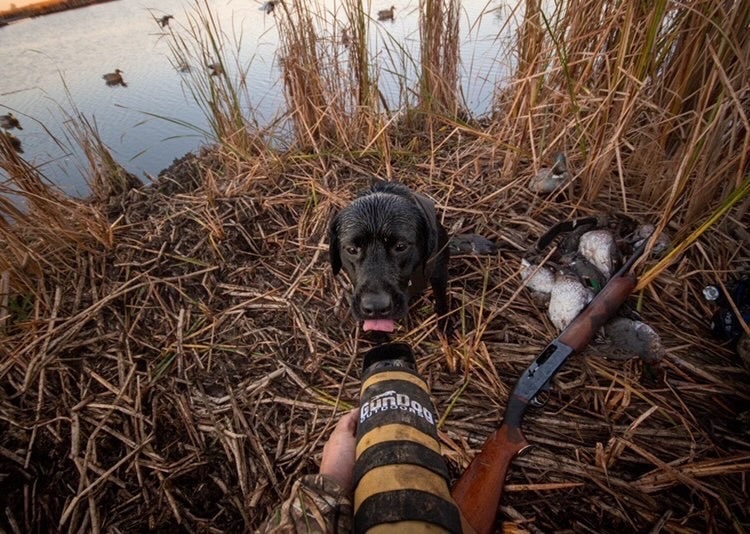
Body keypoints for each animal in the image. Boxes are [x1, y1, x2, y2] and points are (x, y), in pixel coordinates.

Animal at [330, 184, 450, 336]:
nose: (375, 307)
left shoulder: (439, 273)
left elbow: (441, 299)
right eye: (352, 249)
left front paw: (445, 324)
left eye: (401, 246)